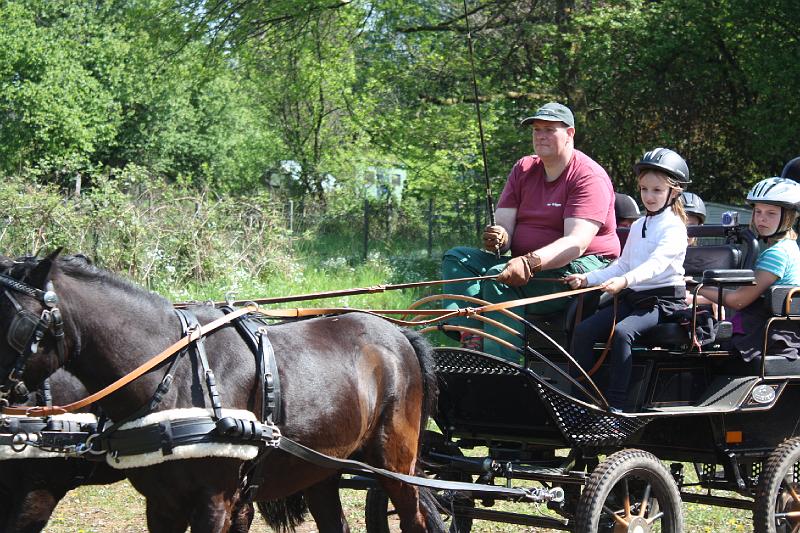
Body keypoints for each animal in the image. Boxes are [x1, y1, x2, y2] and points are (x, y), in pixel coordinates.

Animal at [0, 254, 444, 532]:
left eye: (14, 323)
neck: (172, 375)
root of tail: (399, 334)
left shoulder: (213, 502)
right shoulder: (162, 504)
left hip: (394, 463)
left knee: (413, 519)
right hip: (320, 468)